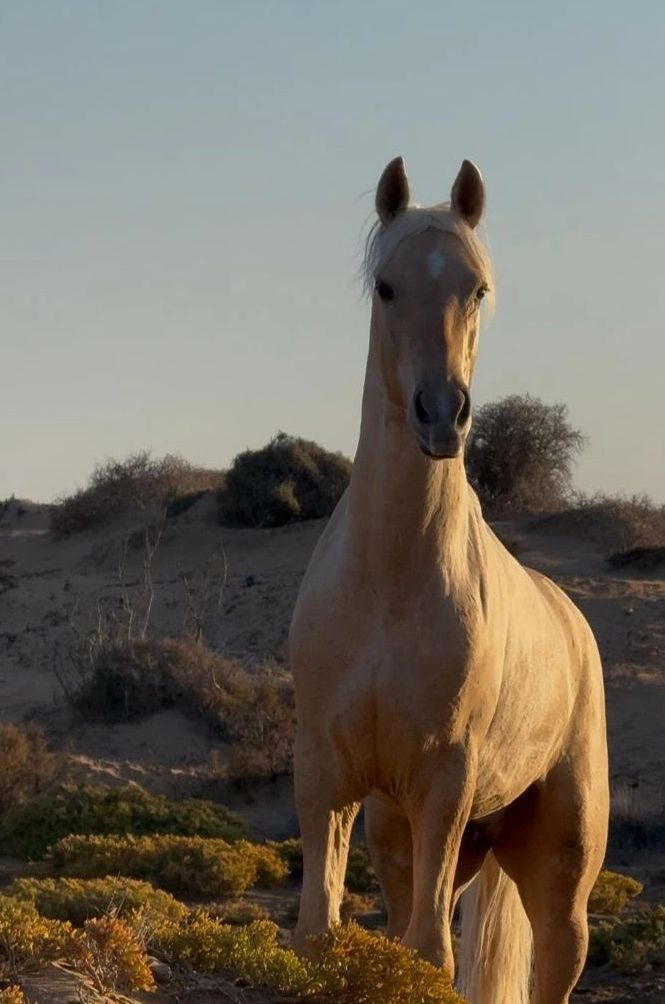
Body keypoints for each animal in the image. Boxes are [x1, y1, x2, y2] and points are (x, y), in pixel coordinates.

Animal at [289, 155, 609, 1004]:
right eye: (386, 287)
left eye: (478, 288)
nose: (441, 414)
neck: (387, 585)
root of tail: (572, 623)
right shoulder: (330, 780)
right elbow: (320, 933)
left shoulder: (442, 783)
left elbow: (428, 955)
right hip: (423, 841)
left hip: (554, 870)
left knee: (553, 956)